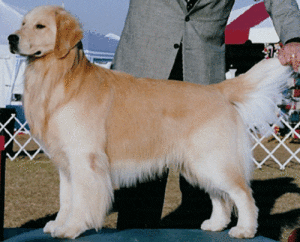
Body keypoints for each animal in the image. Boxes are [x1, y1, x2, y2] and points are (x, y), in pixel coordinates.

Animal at [8, 5, 292, 240]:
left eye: (40, 26)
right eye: (23, 23)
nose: (11, 38)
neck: (60, 77)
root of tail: (217, 90)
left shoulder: (84, 159)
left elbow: (81, 200)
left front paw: (71, 228)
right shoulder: (66, 163)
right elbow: (66, 199)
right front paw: (58, 224)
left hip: (212, 159)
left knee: (242, 194)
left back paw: (245, 229)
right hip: (197, 164)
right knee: (220, 196)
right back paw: (215, 224)